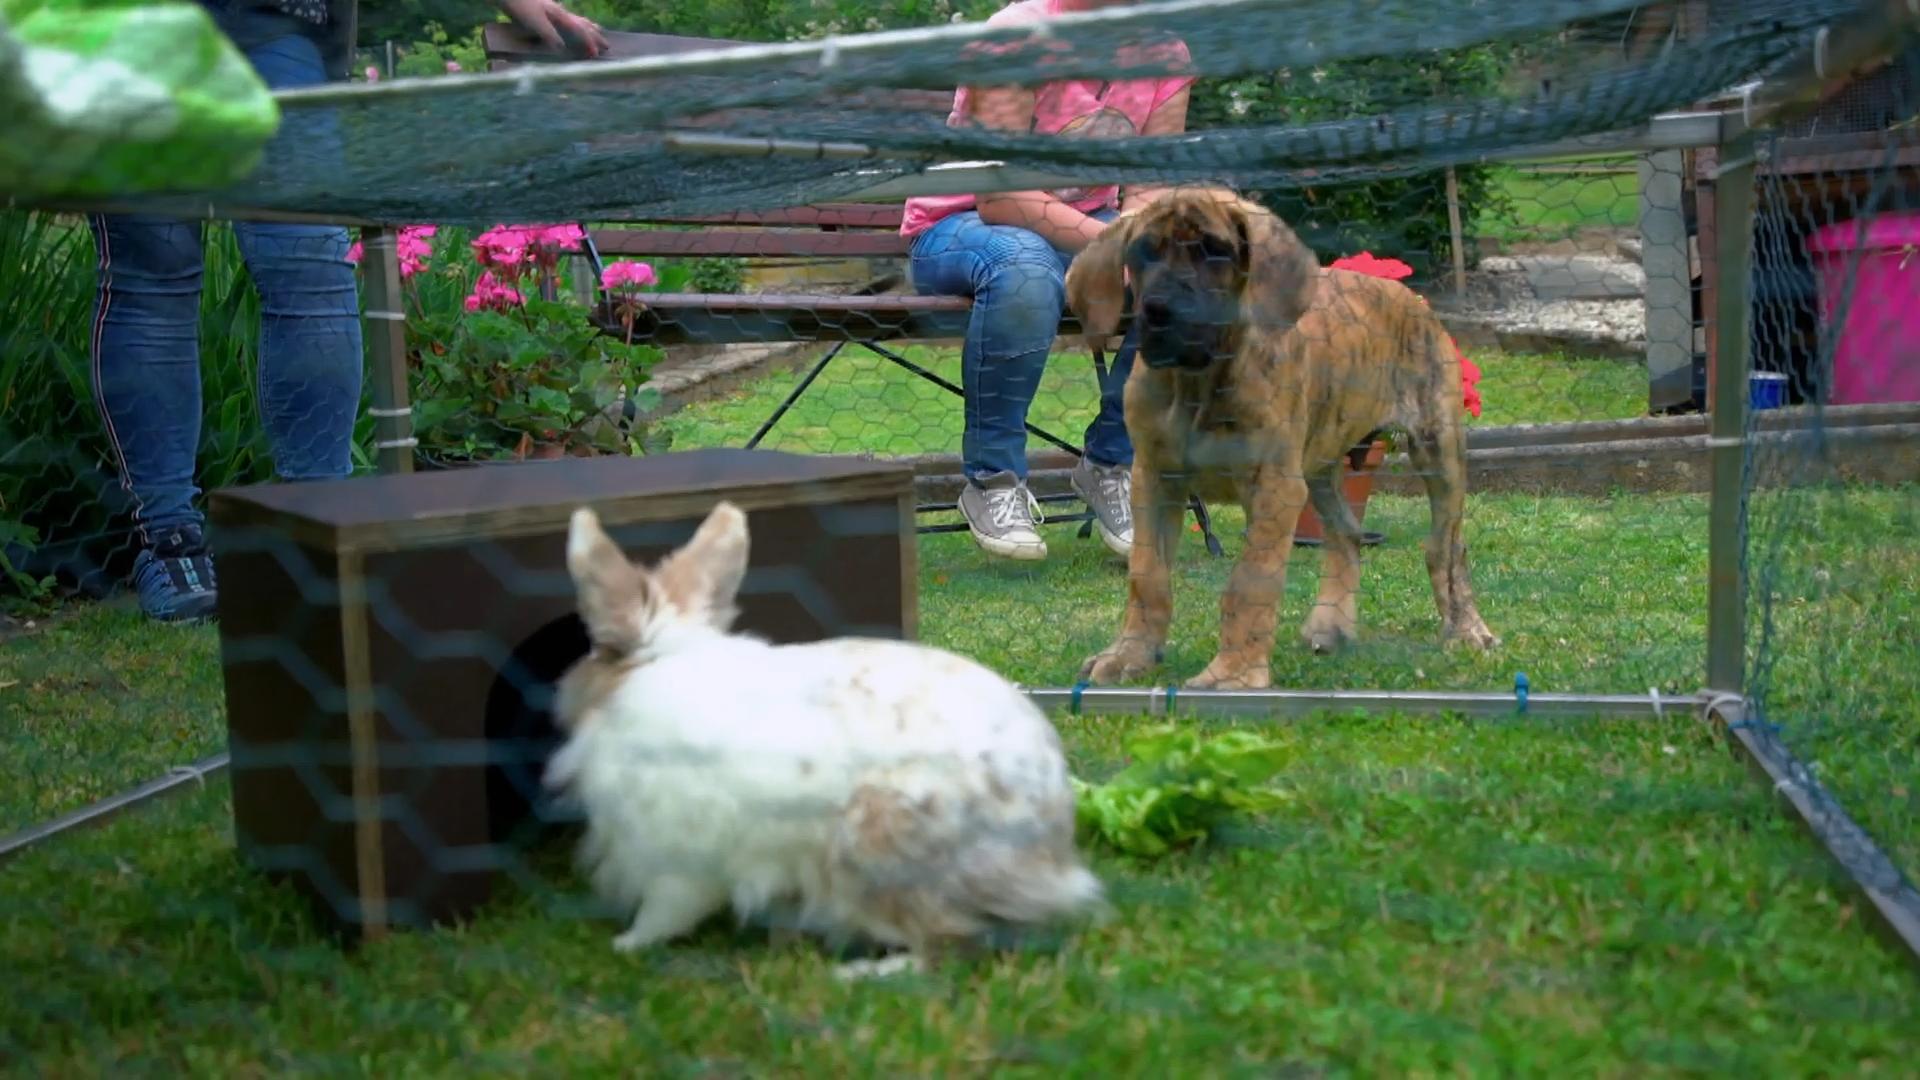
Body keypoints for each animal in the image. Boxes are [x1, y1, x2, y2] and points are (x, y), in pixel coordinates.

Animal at [542, 499, 1106, 977]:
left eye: (594, 652)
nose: (563, 695)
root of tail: (1050, 856)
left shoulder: (676, 855)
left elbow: (665, 910)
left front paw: (627, 944)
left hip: (875, 857)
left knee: (945, 945)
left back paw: (863, 974)